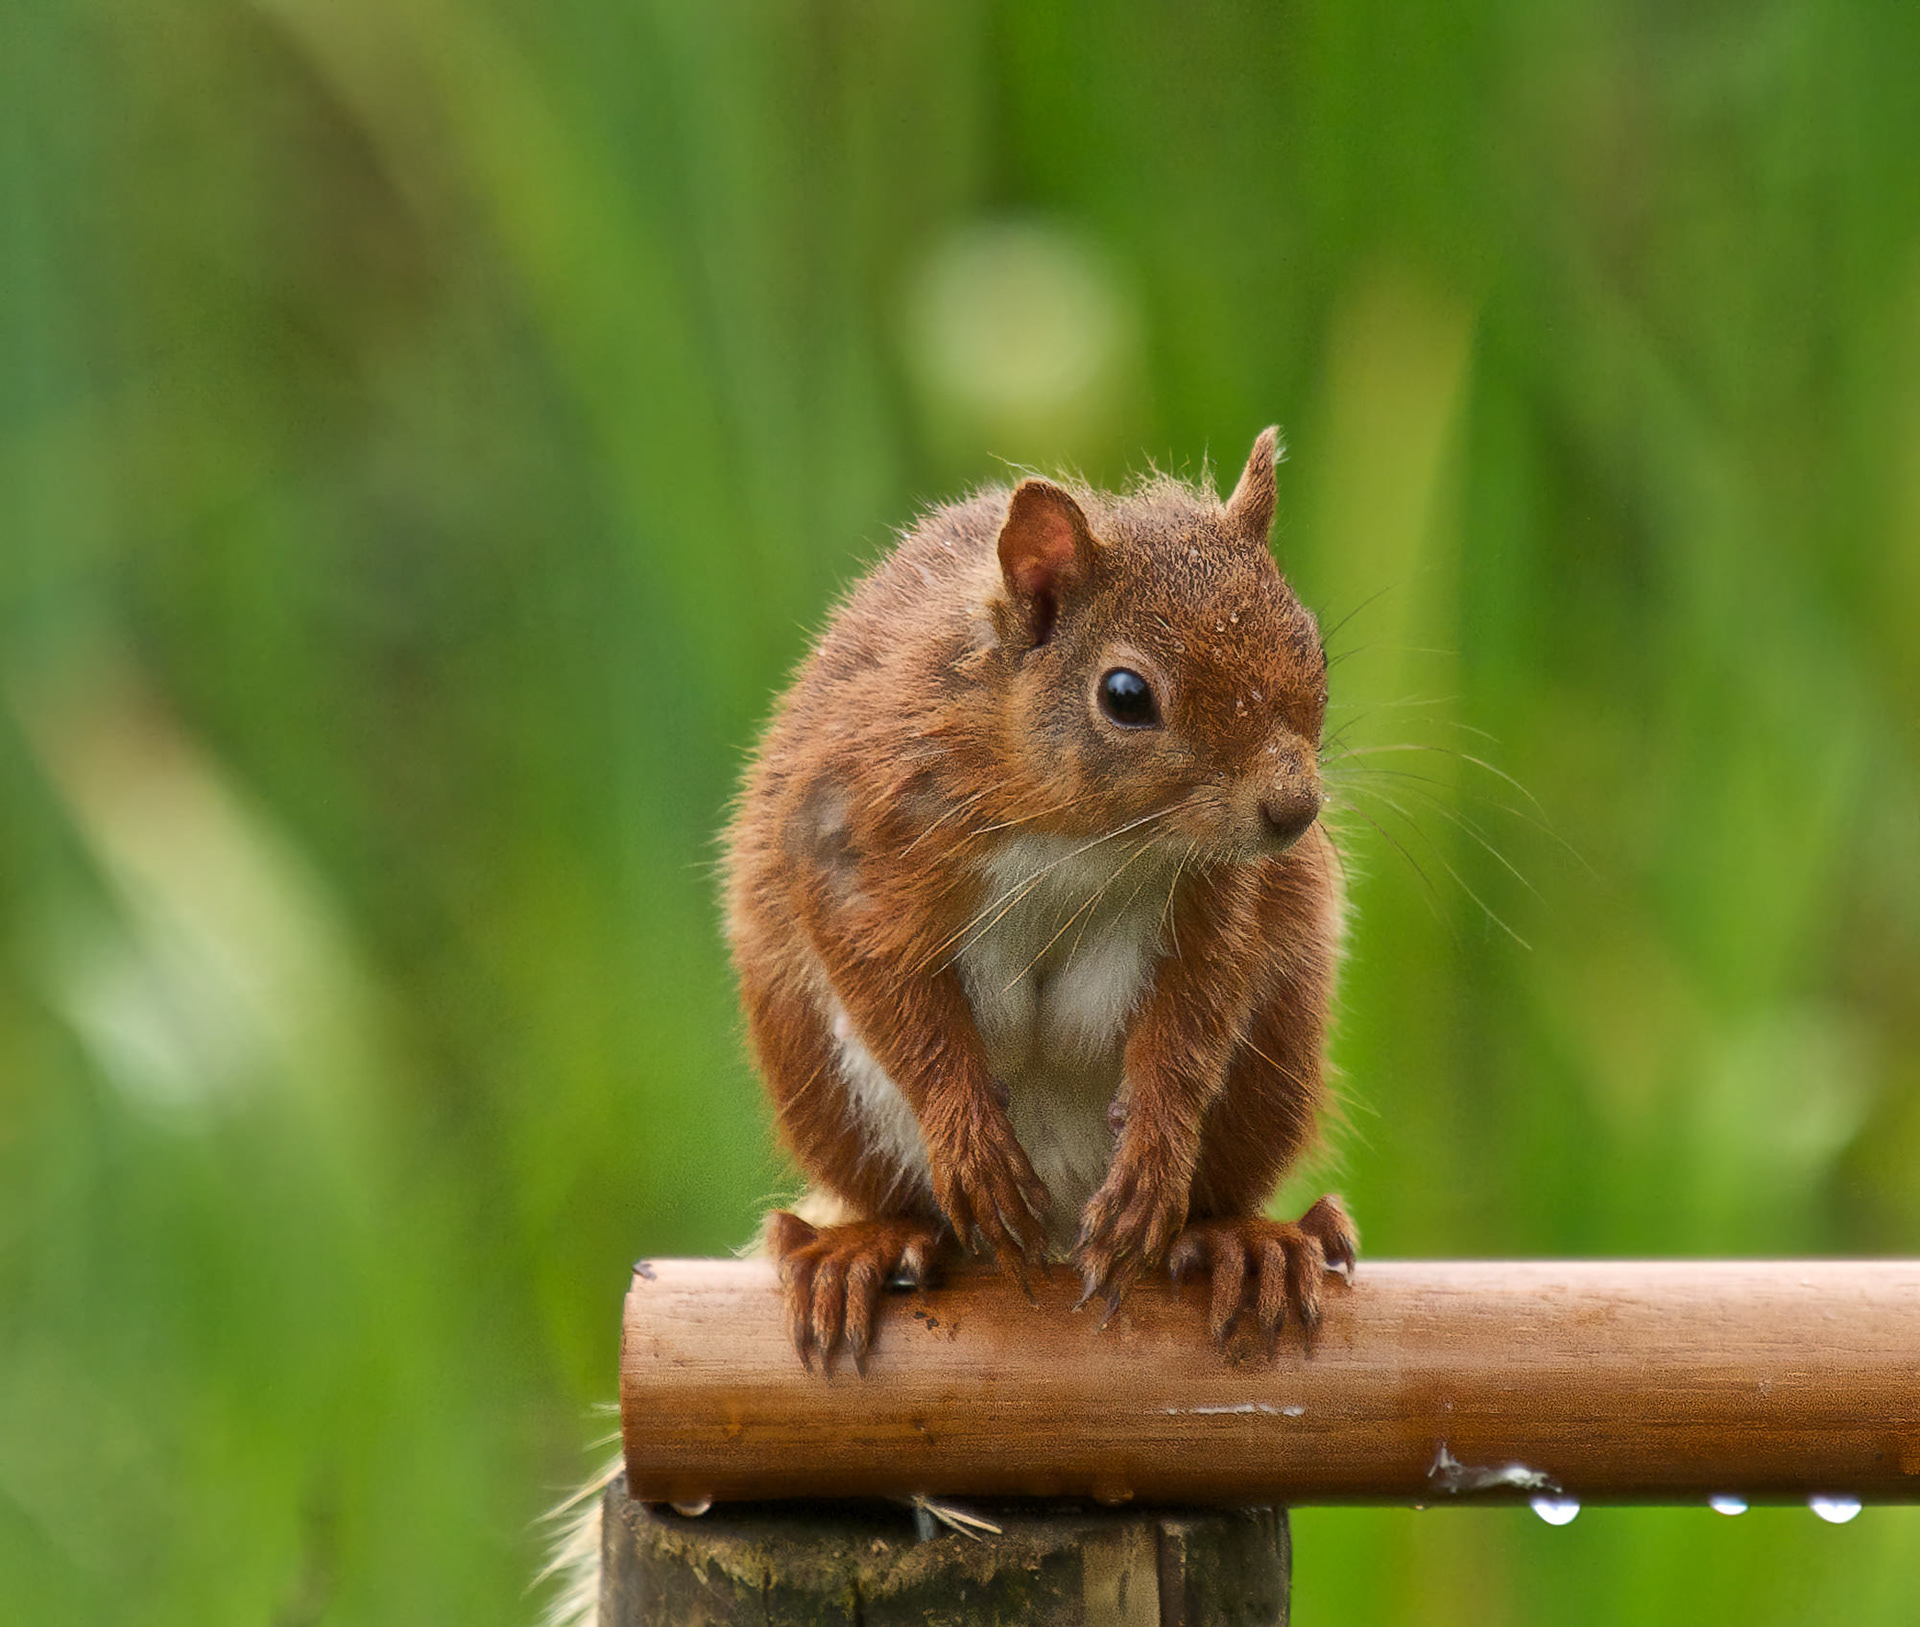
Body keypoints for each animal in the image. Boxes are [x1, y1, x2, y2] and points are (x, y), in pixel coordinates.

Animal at [541, 429, 1354, 1626]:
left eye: (1310, 645)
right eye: (1127, 695)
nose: (1292, 813)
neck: (1091, 833)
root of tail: (1059, 1233)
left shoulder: (1223, 901)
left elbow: (1193, 1018)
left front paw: (1157, 1148)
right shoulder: (860, 835)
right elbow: (892, 992)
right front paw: (968, 1134)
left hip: (1273, 1057)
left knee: (1214, 1181)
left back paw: (1245, 1242)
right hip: (831, 1087)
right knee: (906, 1201)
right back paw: (866, 1247)